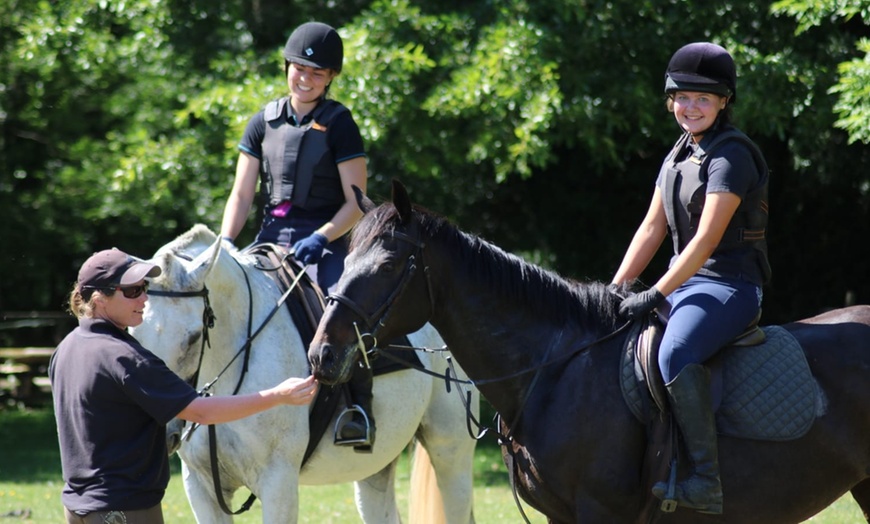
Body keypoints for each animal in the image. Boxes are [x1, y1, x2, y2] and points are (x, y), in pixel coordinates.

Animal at [131, 226, 476, 524]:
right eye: (134, 333)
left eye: (193, 337)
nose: (163, 432)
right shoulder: (200, 488)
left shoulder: (278, 484)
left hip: (451, 453)